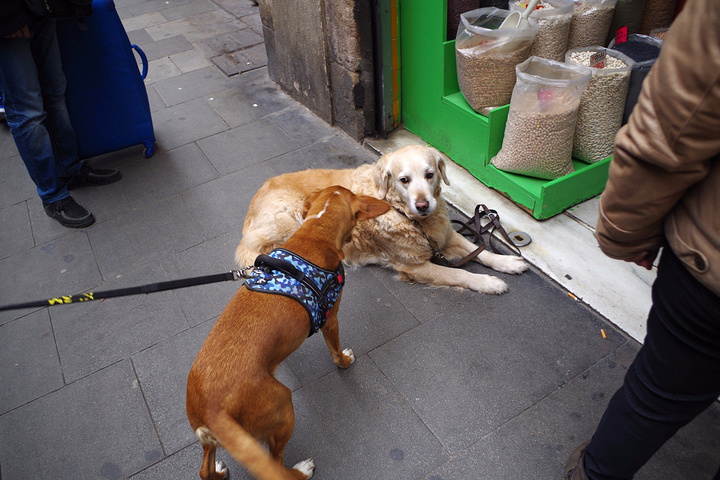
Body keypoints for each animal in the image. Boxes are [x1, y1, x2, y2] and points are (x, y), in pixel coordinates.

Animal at [183, 186, 390, 478]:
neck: (314, 233)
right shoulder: (331, 320)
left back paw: (219, 471)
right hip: (283, 407)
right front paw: (345, 361)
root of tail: (213, 412)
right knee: (276, 465)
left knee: (205, 469)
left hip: (213, 440)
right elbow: (336, 352)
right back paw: (301, 470)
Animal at [236, 143, 528, 292]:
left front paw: (507, 263)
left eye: (430, 174)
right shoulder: (414, 266)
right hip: (290, 217)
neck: (406, 216)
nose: (423, 205)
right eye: (404, 180)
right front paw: (488, 283)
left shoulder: (445, 235)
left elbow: (479, 251)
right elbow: (458, 274)